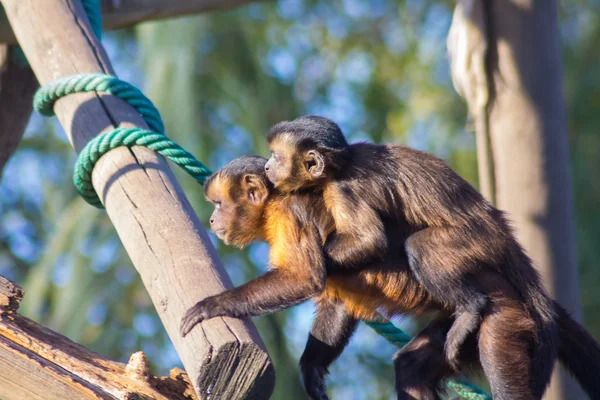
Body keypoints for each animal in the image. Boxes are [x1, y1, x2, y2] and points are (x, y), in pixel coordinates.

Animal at [178, 157, 474, 400]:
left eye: (219, 204)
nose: (212, 219)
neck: (272, 203)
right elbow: (337, 302)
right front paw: (312, 369)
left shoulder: (290, 212)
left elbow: (304, 278)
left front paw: (214, 305)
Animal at [264, 115, 600, 400]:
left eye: (276, 157)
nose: (267, 167)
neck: (339, 166)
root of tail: (502, 230)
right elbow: (340, 301)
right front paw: (312, 368)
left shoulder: (341, 189)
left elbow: (370, 241)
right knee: (411, 367)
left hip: (477, 247)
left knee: (421, 248)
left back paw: (471, 308)